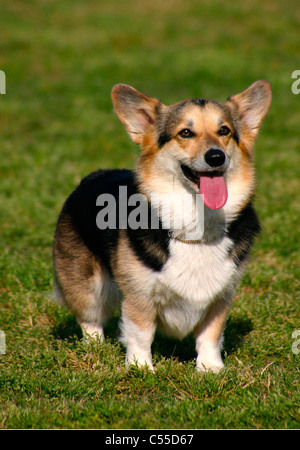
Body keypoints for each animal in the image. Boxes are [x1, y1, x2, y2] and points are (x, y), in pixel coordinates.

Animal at [53, 81, 272, 372]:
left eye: (224, 130)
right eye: (186, 133)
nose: (216, 156)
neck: (196, 223)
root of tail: (92, 176)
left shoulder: (221, 296)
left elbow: (210, 335)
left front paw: (210, 369)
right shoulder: (139, 295)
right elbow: (141, 333)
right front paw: (141, 368)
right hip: (86, 283)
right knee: (90, 317)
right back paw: (95, 347)